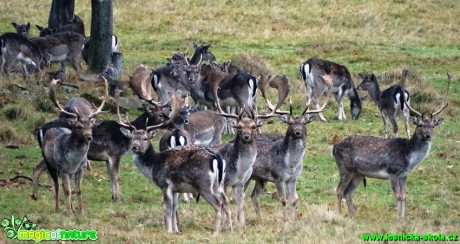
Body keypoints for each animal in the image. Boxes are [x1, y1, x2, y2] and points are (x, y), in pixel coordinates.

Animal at [40, 78, 107, 214]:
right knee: (57, 185)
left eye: (91, 126)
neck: (74, 161)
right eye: (78, 126)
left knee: (65, 186)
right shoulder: (63, 169)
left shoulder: (79, 169)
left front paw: (81, 211)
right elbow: (67, 190)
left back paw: (72, 208)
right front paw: (69, 212)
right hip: (50, 164)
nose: (89, 137)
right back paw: (58, 208)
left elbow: (78, 190)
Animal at [332, 73, 452, 219]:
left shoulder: (404, 175)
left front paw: (403, 219)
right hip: (345, 168)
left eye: (433, 125)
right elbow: (398, 196)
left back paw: (353, 217)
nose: (428, 135)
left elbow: (405, 196)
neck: (409, 158)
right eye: (420, 124)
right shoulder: (393, 171)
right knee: (339, 190)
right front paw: (398, 219)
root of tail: (334, 147)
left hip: (358, 173)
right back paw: (338, 215)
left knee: (348, 192)